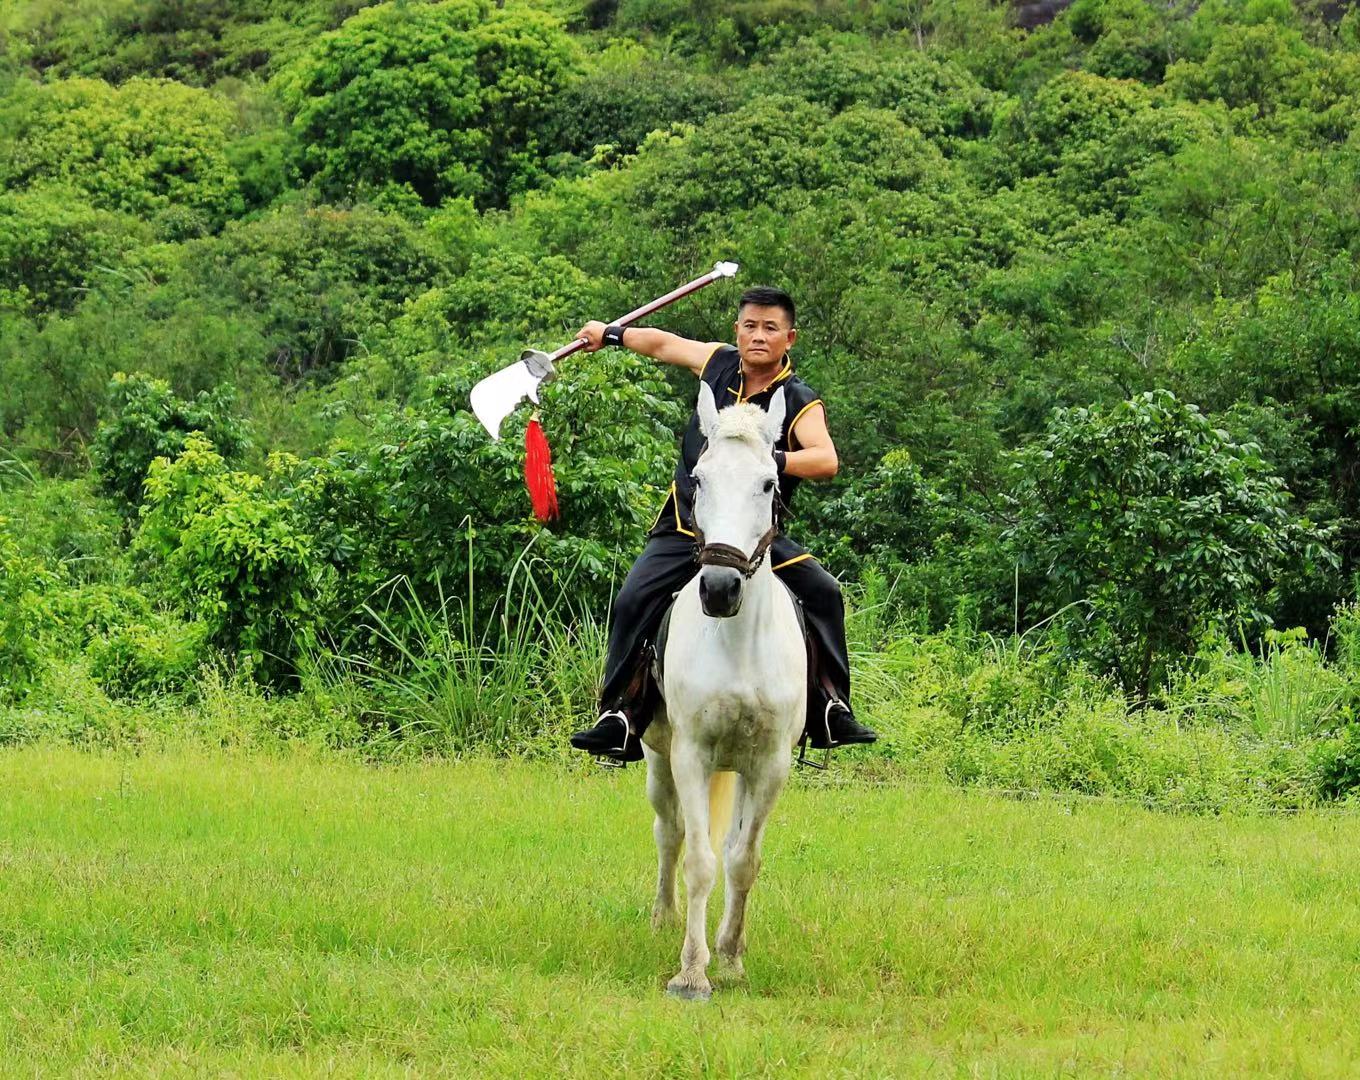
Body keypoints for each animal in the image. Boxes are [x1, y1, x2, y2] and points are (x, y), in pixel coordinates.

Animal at [639, 380, 805, 1001]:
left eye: (769, 483)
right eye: (700, 480)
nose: (719, 588)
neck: (737, 645)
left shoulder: (771, 764)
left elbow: (742, 861)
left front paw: (731, 956)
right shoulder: (691, 754)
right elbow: (700, 860)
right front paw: (691, 972)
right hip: (658, 756)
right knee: (670, 832)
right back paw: (663, 918)